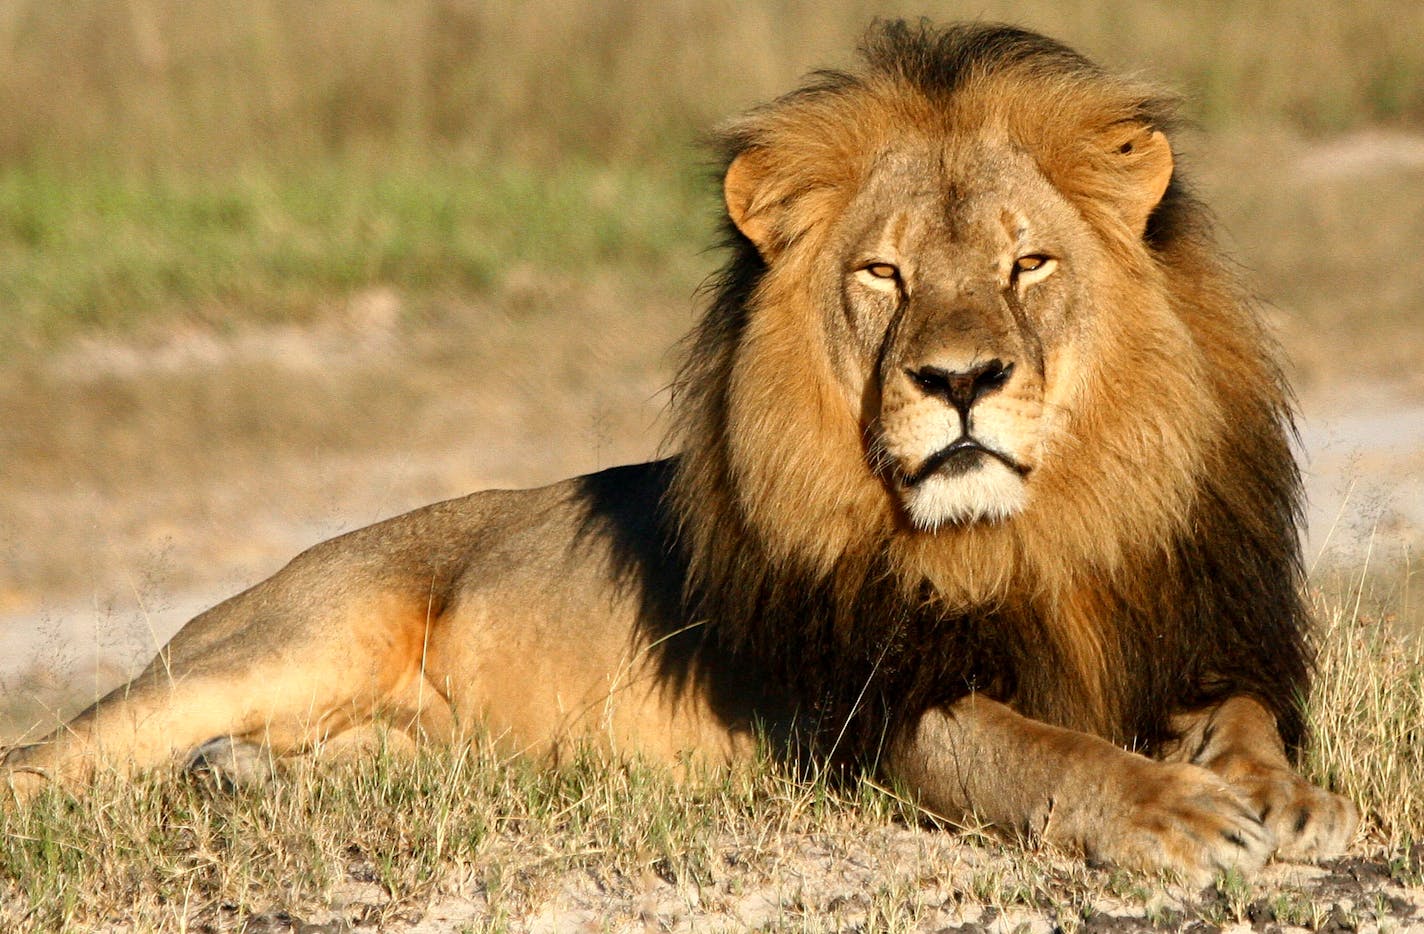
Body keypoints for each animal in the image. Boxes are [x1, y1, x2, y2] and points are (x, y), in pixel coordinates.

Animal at [2, 20, 1355, 882]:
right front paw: (1173, 815)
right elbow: (1036, 750)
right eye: (883, 274)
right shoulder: (867, 710)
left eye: (1028, 263)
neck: (1031, 534)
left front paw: (1284, 799)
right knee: (48, 757)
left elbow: (1245, 718)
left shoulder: (1193, 631)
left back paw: (245, 782)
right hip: (287, 639)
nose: (958, 380)